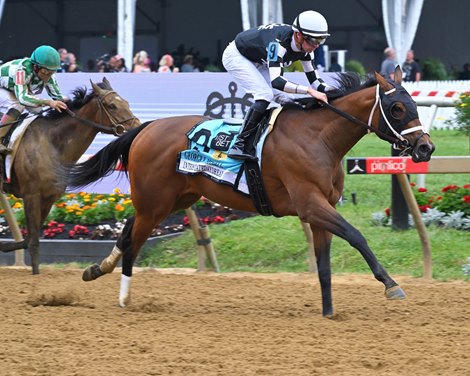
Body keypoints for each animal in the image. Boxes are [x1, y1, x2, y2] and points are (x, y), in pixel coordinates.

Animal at [0, 78, 140, 274]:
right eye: (112, 105)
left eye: (126, 102)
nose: (138, 127)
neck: (52, 144)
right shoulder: (31, 195)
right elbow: (33, 242)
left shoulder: (48, 198)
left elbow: (29, 240)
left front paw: (4, 246)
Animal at [65, 68, 434, 318]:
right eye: (397, 108)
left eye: (414, 103)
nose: (426, 148)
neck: (318, 137)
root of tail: (145, 128)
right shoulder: (310, 205)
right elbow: (357, 236)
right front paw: (391, 285)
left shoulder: (320, 210)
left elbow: (324, 264)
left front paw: (328, 312)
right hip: (155, 201)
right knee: (135, 240)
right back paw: (124, 297)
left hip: (175, 199)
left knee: (128, 229)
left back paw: (97, 269)